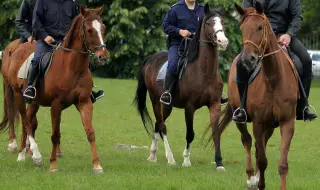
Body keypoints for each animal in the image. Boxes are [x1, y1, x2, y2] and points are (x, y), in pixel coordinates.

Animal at [0, 5, 109, 174]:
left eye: (103, 28)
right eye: (90, 30)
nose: (103, 56)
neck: (72, 68)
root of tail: (15, 50)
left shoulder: (84, 102)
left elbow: (90, 132)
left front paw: (97, 165)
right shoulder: (56, 105)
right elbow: (55, 135)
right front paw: (52, 165)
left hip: (34, 102)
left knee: (29, 122)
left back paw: (23, 154)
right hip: (17, 96)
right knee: (25, 121)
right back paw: (34, 155)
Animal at [134, 4, 229, 171]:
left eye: (222, 22)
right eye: (208, 23)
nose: (222, 41)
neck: (204, 71)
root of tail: (151, 58)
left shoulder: (215, 104)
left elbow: (216, 132)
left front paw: (219, 163)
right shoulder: (189, 108)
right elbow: (190, 134)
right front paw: (186, 160)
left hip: (168, 106)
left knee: (158, 125)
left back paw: (152, 155)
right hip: (155, 101)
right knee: (162, 126)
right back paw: (170, 158)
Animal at [212, 2, 300, 189]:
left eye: (260, 27)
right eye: (242, 28)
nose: (248, 60)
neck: (273, 79)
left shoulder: (287, 122)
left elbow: (282, 164)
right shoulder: (258, 122)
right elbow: (262, 159)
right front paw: (258, 182)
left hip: (271, 124)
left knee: (262, 144)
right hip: (241, 117)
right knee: (247, 141)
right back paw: (251, 177)